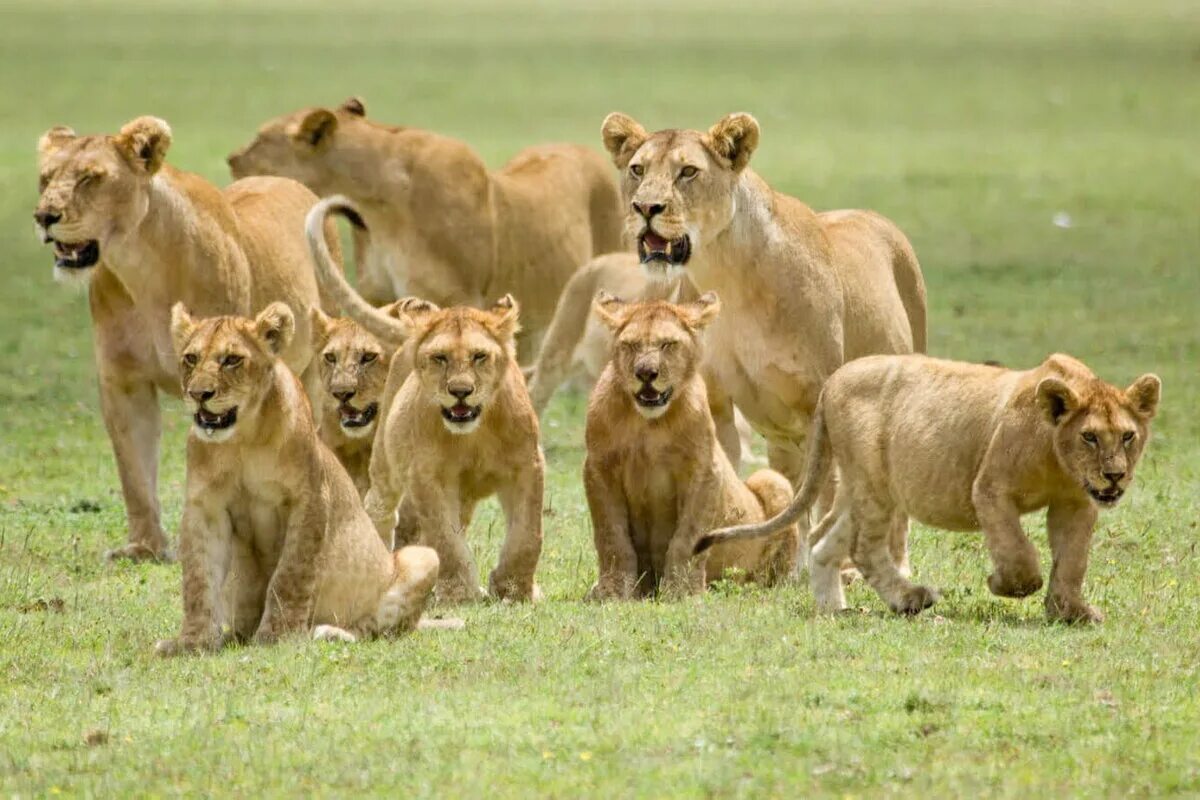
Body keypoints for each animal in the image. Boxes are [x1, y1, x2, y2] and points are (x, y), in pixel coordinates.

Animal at [157, 303, 444, 652]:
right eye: (190, 358)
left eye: (232, 359)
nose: (199, 394)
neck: (242, 438)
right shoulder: (206, 508)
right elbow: (198, 579)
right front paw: (192, 643)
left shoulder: (309, 499)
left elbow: (291, 573)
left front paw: (277, 636)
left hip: (422, 557)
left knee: (372, 628)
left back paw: (330, 632)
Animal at [355, 297, 544, 604]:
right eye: (440, 357)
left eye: (479, 356)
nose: (460, 391)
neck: (474, 434)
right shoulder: (427, 476)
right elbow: (445, 540)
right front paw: (459, 593)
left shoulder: (527, 465)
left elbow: (527, 536)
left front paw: (515, 589)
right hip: (385, 460)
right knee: (379, 506)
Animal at [580, 291, 796, 597]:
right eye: (631, 345)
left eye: (668, 344)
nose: (646, 373)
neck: (649, 425)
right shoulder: (599, 468)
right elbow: (612, 537)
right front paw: (612, 592)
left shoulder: (704, 470)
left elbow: (687, 538)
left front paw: (683, 592)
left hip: (773, 481)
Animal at [696, 352, 1161, 623]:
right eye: (1089, 437)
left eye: (1127, 436)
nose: (1114, 475)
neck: (1057, 459)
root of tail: (832, 381)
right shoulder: (990, 490)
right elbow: (1019, 554)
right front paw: (1002, 584)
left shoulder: (1076, 503)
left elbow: (1072, 562)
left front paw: (1071, 611)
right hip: (876, 484)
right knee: (864, 547)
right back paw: (910, 599)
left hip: (860, 483)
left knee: (825, 538)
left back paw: (835, 609)